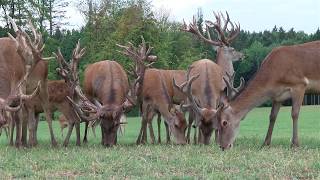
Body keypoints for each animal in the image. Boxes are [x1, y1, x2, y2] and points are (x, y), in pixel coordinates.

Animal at [179, 11, 244, 144]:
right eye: (233, 49)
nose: (242, 55)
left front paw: (217, 139)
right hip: (188, 97)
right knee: (191, 119)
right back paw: (190, 139)